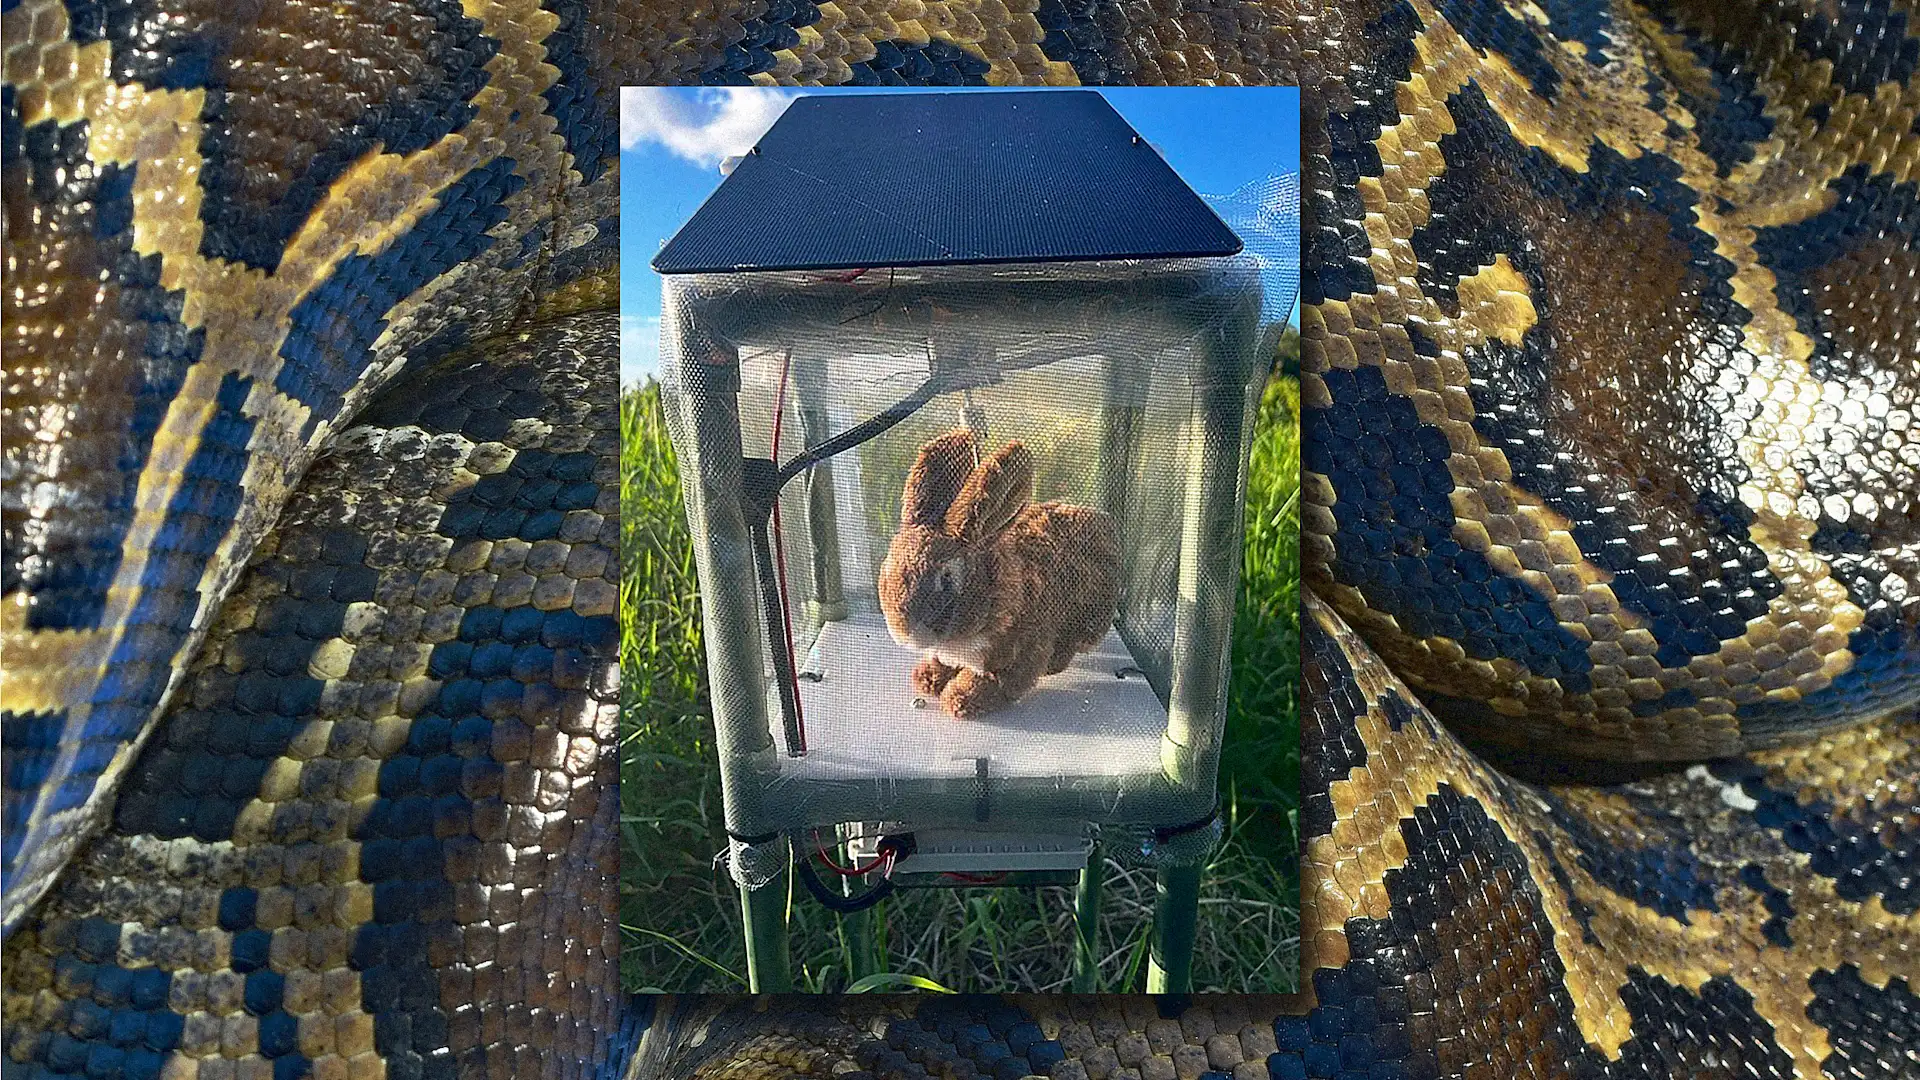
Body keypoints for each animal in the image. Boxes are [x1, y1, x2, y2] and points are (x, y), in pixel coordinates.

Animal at [878, 429, 1121, 720]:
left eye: (947, 578)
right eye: (889, 562)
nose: (902, 631)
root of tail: (1106, 524)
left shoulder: (1019, 651)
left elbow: (995, 681)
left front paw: (960, 700)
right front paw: (927, 678)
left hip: (1088, 621)